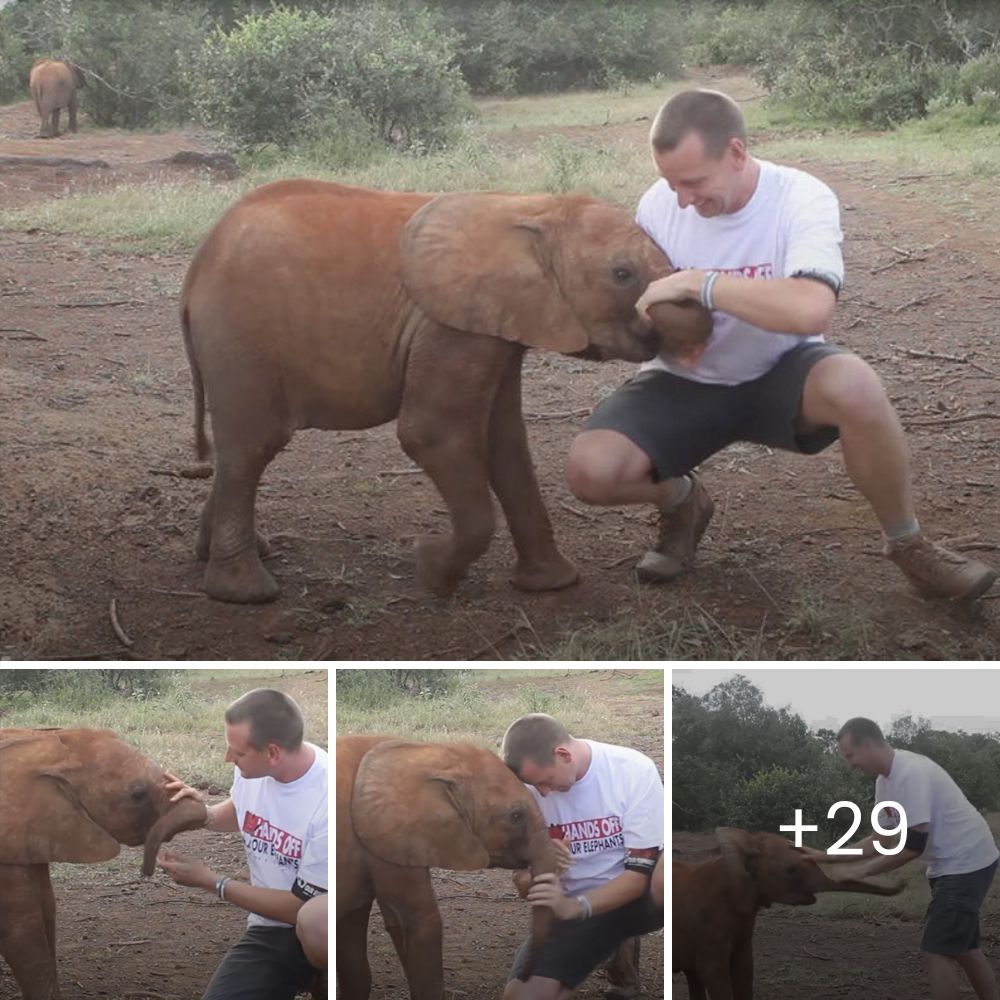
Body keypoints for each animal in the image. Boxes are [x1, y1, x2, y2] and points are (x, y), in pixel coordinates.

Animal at [180, 178, 712, 600]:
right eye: (622, 274)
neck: (534, 208)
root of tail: (196, 267)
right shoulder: (450, 325)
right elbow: (431, 433)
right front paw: (431, 571)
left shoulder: (500, 325)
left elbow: (506, 441)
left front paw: (551, 584)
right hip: (240, 335)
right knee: (253, 446)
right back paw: (246, 592)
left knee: (240, 451)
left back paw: (232, 554)